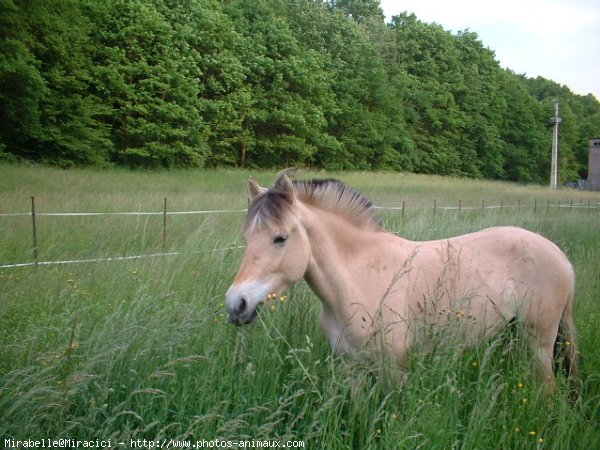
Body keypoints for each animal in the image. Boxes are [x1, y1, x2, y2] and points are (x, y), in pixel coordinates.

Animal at [224, 172, 576, 394]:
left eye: (280, 238)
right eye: (246, 237)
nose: (236, 304)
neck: (359, 277)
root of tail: (560, 256)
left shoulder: (394, 373)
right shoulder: (352, 369)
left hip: (539, 344)